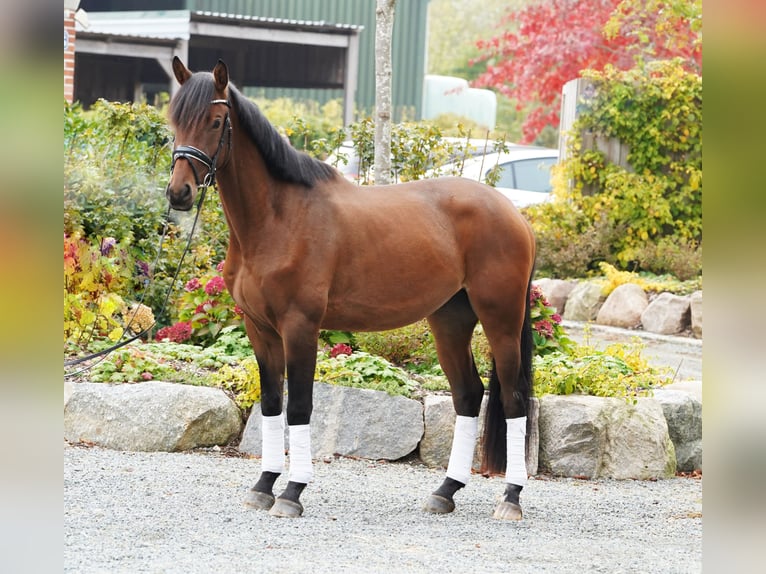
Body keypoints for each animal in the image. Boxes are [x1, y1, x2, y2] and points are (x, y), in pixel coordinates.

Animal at [165, 58, 536, 520]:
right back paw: (445, 491)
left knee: (515, 399)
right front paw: (264, 485)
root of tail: (514, 214)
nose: (179, 193)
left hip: (501, 319)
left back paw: (511, 498)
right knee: (469, 396)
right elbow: (271, 404)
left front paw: (292, 493)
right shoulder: (259, 329)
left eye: (215, 122)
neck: (278, 218)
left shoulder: (300, 327)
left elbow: (300, 407)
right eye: (174, 121)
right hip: (450, 321)